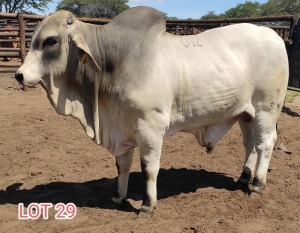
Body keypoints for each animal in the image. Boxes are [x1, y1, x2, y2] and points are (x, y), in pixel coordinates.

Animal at [15, 6, 290, 216]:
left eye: (50, 41)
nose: (19, 75)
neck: (114, 64)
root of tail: (273, 35)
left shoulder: (150, 128)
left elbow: (149, 168)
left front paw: (147, 205)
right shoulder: (122, 129)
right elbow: (122, 166)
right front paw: (118, 197)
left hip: (267, 109)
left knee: (265, 143)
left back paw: (257, 185)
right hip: (246, 114)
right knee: (250, 144)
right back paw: (244, 178)